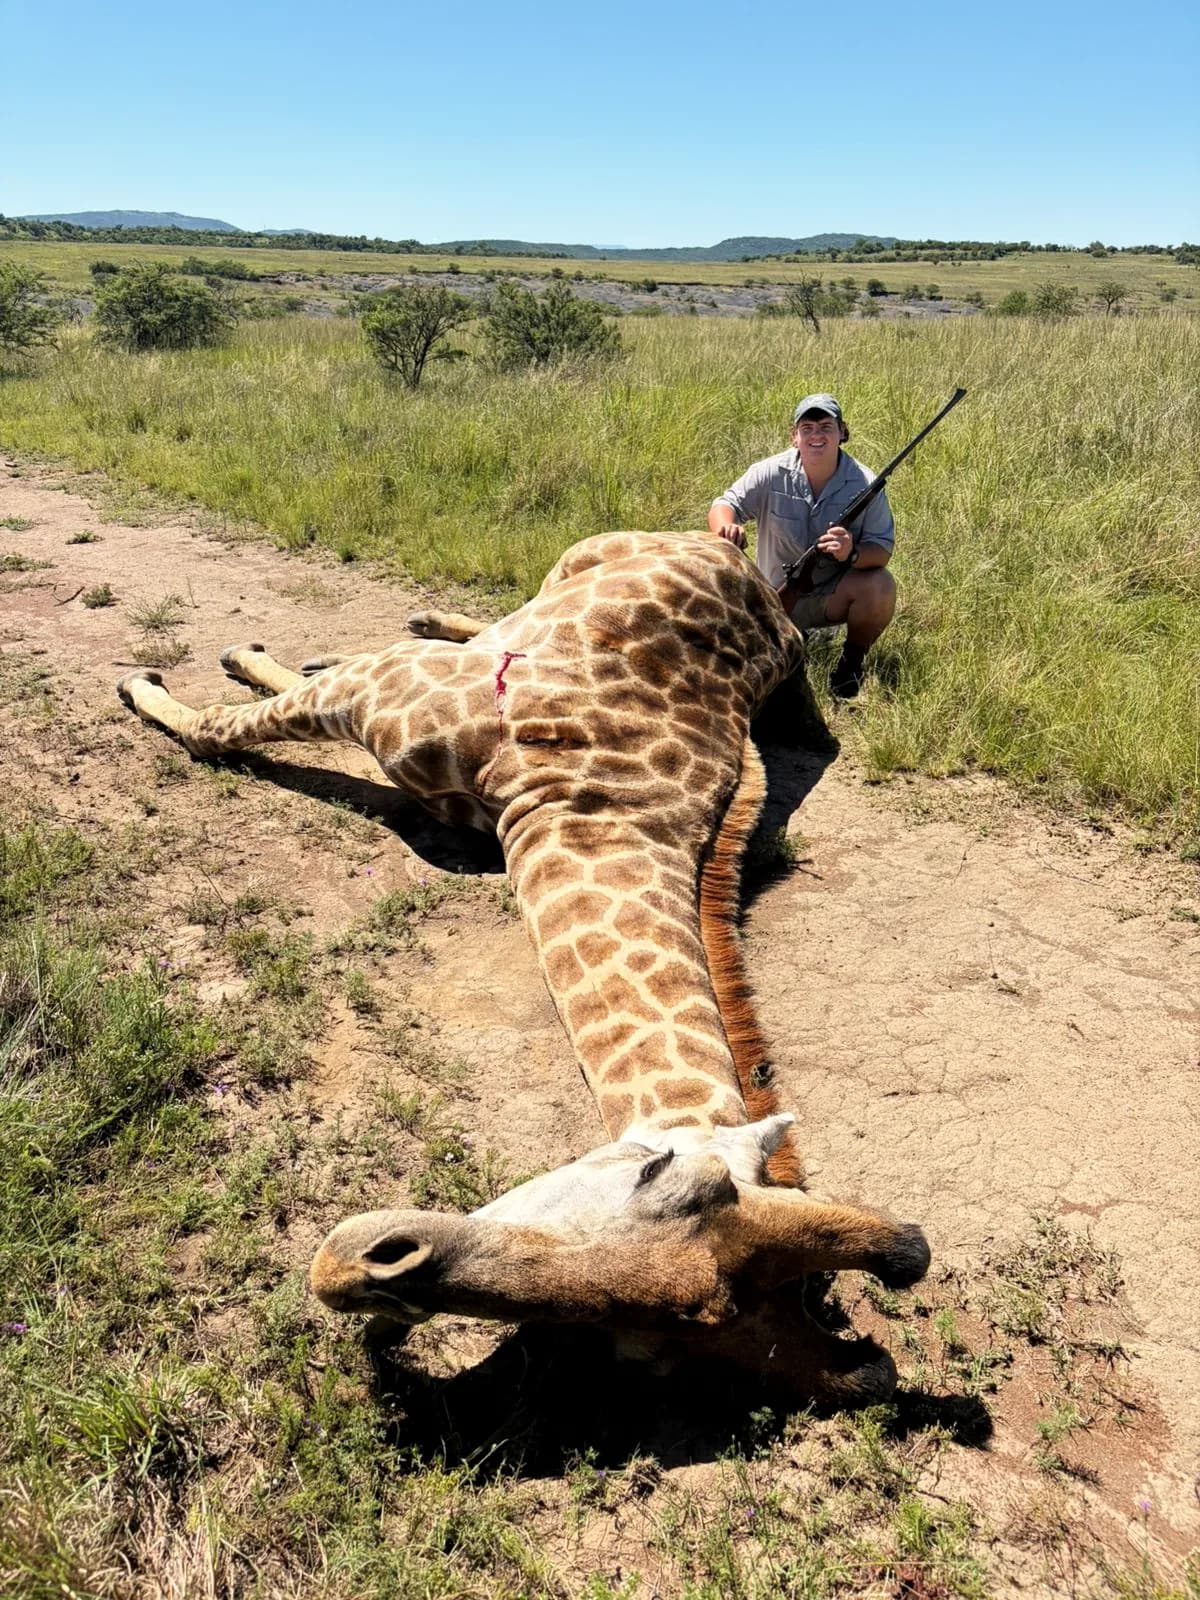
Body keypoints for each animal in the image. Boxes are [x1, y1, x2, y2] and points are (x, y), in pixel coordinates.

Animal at [117, 529, 930, 1403]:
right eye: (658, 1176)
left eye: (621, 1350)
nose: (356, 1273)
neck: (577, 803)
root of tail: (743, 563)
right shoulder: (386, 691)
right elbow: (215, 729)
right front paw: (148, 678)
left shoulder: (386, 700)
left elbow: (217, 729)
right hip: (578, 557)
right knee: (465, 625)